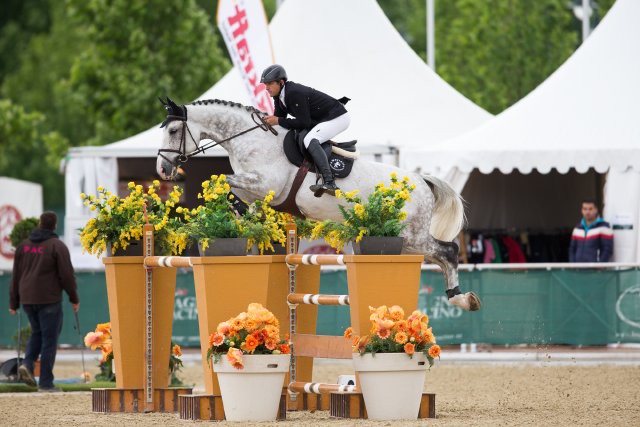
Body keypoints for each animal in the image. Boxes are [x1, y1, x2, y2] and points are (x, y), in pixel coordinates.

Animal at [156, 98, 480, 310]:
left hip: (410, 237)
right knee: (440, 256)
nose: (163, 169)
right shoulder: (253, 191)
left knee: (447, 252)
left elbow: (221, 180)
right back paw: (459, 297)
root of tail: (422, 181)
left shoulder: (264, 184)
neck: (252, 141)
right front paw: (244, 223)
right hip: (408, 242)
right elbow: (231, 192)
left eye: (173, 131)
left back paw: (462, 299)